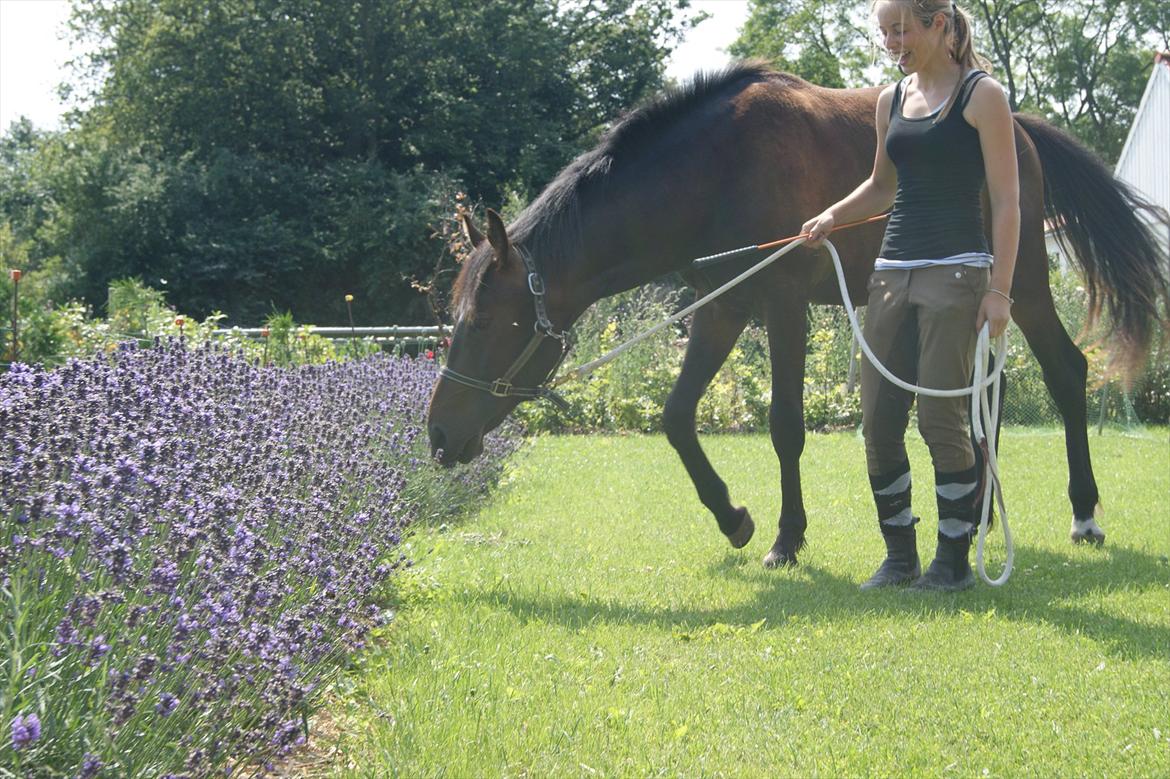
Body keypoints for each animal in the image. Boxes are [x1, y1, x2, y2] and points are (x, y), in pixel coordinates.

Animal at [425, 57, 1165, 561]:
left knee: (1066, 373)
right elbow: (676, 417)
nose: (437, 436)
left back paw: (1083, 514)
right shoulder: (721, 307)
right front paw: (733, 518)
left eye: (483, 321)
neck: (713, 170)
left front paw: (786, 535)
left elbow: (784, 424)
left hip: (1025, 285)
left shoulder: (781, 305)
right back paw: (980, 512)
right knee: (986, 390)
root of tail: (1020, 129)